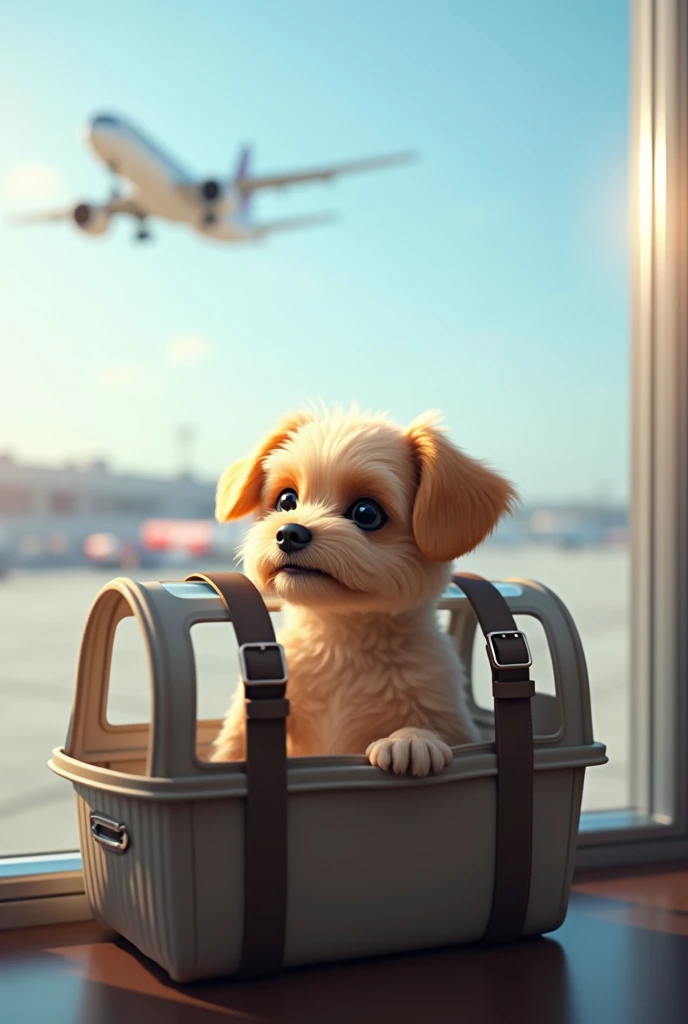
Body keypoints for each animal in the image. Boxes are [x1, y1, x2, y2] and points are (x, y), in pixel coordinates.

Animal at [209, 407, 516, 774]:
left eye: (366, 513)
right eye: (286, 500)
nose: (289, 533)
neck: (341, 641)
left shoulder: (446, 712)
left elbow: (433, 730)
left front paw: (409, 740)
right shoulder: (238, 735)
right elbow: (230, 753)